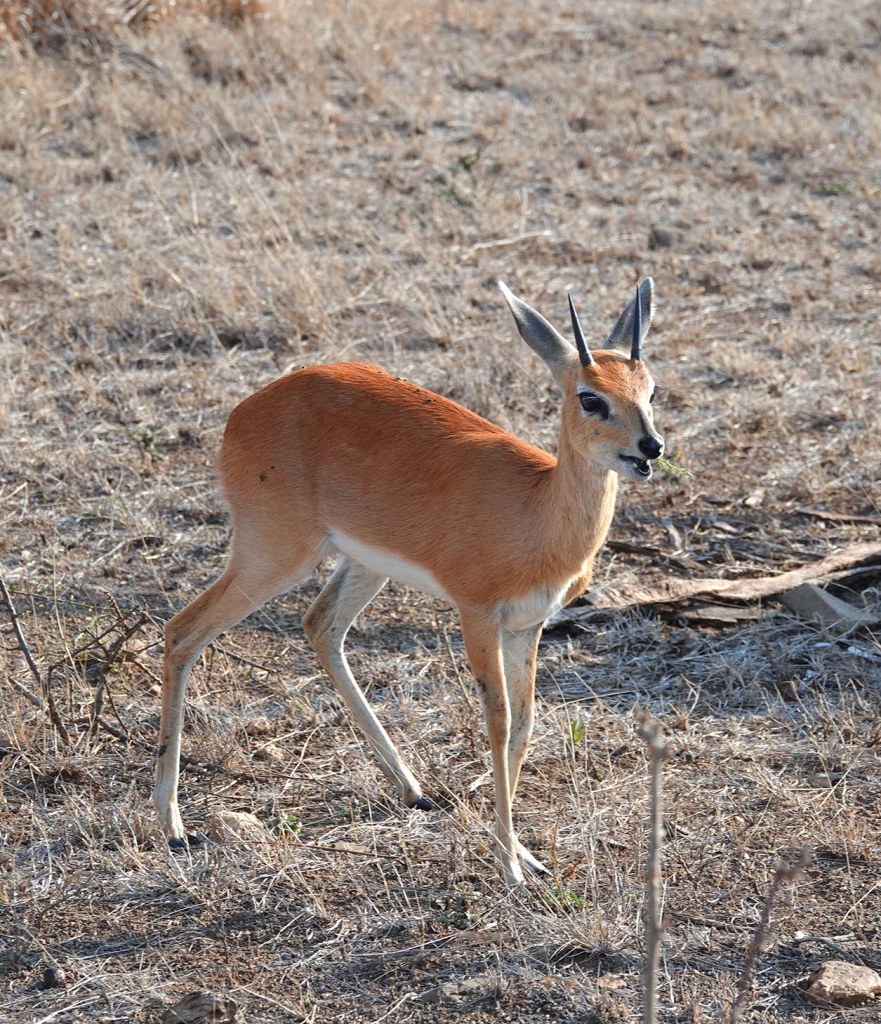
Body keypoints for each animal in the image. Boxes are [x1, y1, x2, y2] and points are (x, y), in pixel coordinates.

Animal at [153, 278, 663, 886]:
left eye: (650, 390)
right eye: (591, 397)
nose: (651, 448)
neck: (536, 510)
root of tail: (246, 408)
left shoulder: (527, 625)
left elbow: (524, 725)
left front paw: (524, 855)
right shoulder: (476, 614)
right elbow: (498, 722)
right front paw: (509, 866)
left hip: (362, 565)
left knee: (319, 625)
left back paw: (413, 790)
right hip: (273, 556)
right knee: (182, 631)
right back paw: (172, 826)